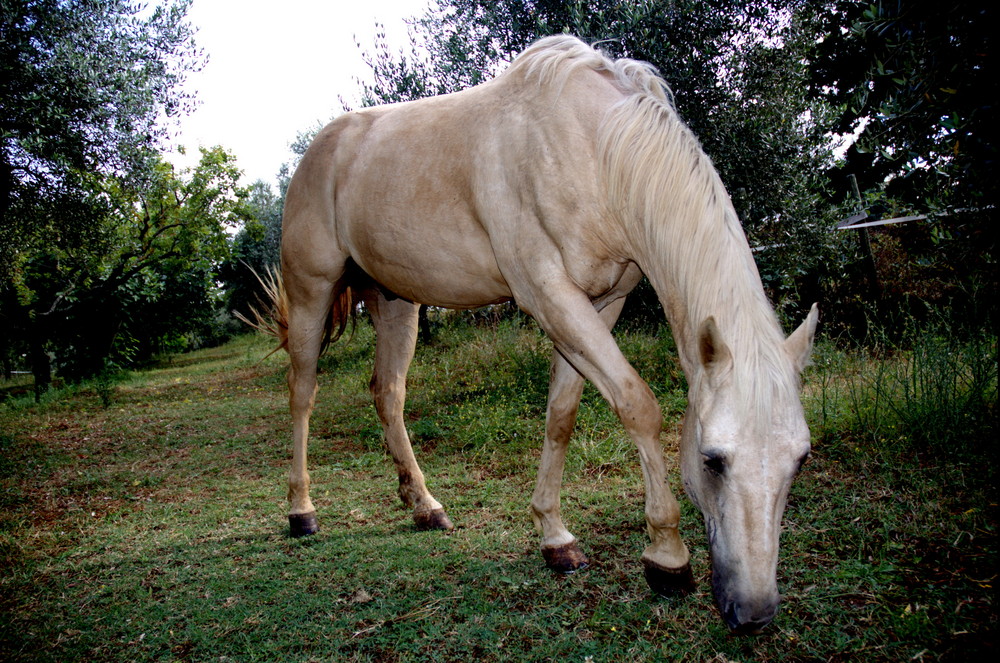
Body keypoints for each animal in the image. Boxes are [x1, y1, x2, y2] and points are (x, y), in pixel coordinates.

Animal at [266, 35, 820, 632]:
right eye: (713, 459)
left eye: (799, 460)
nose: (755, 613)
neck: (595, 148)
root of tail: (319, 150)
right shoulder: (549, 296)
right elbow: (637, 405)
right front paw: (667, 556)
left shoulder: (602, 304)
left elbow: (562, 415)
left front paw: (555, 537)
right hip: (311, 292)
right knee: (302, 393)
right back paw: (302, 512)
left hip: (395, 302)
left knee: (388, 393)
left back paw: (424, 505)